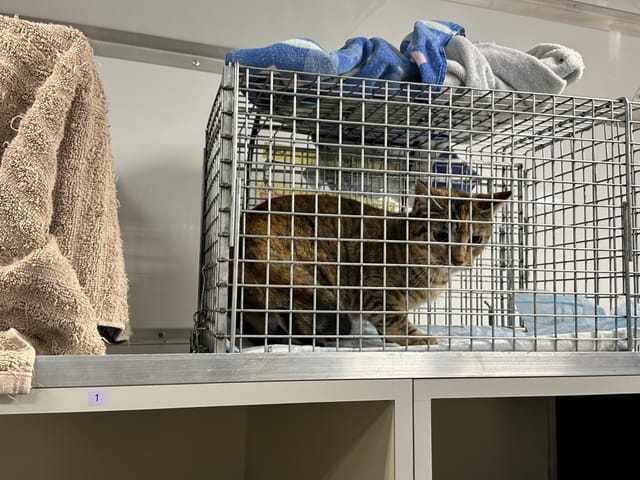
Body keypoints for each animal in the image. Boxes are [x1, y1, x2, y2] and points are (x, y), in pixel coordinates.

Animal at [232, 181, 512, 344]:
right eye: (441, 235)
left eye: (475, 239)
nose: (459, 259)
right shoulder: (375, 290)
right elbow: (393, 321)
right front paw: (418, 338)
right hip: (309, 278)